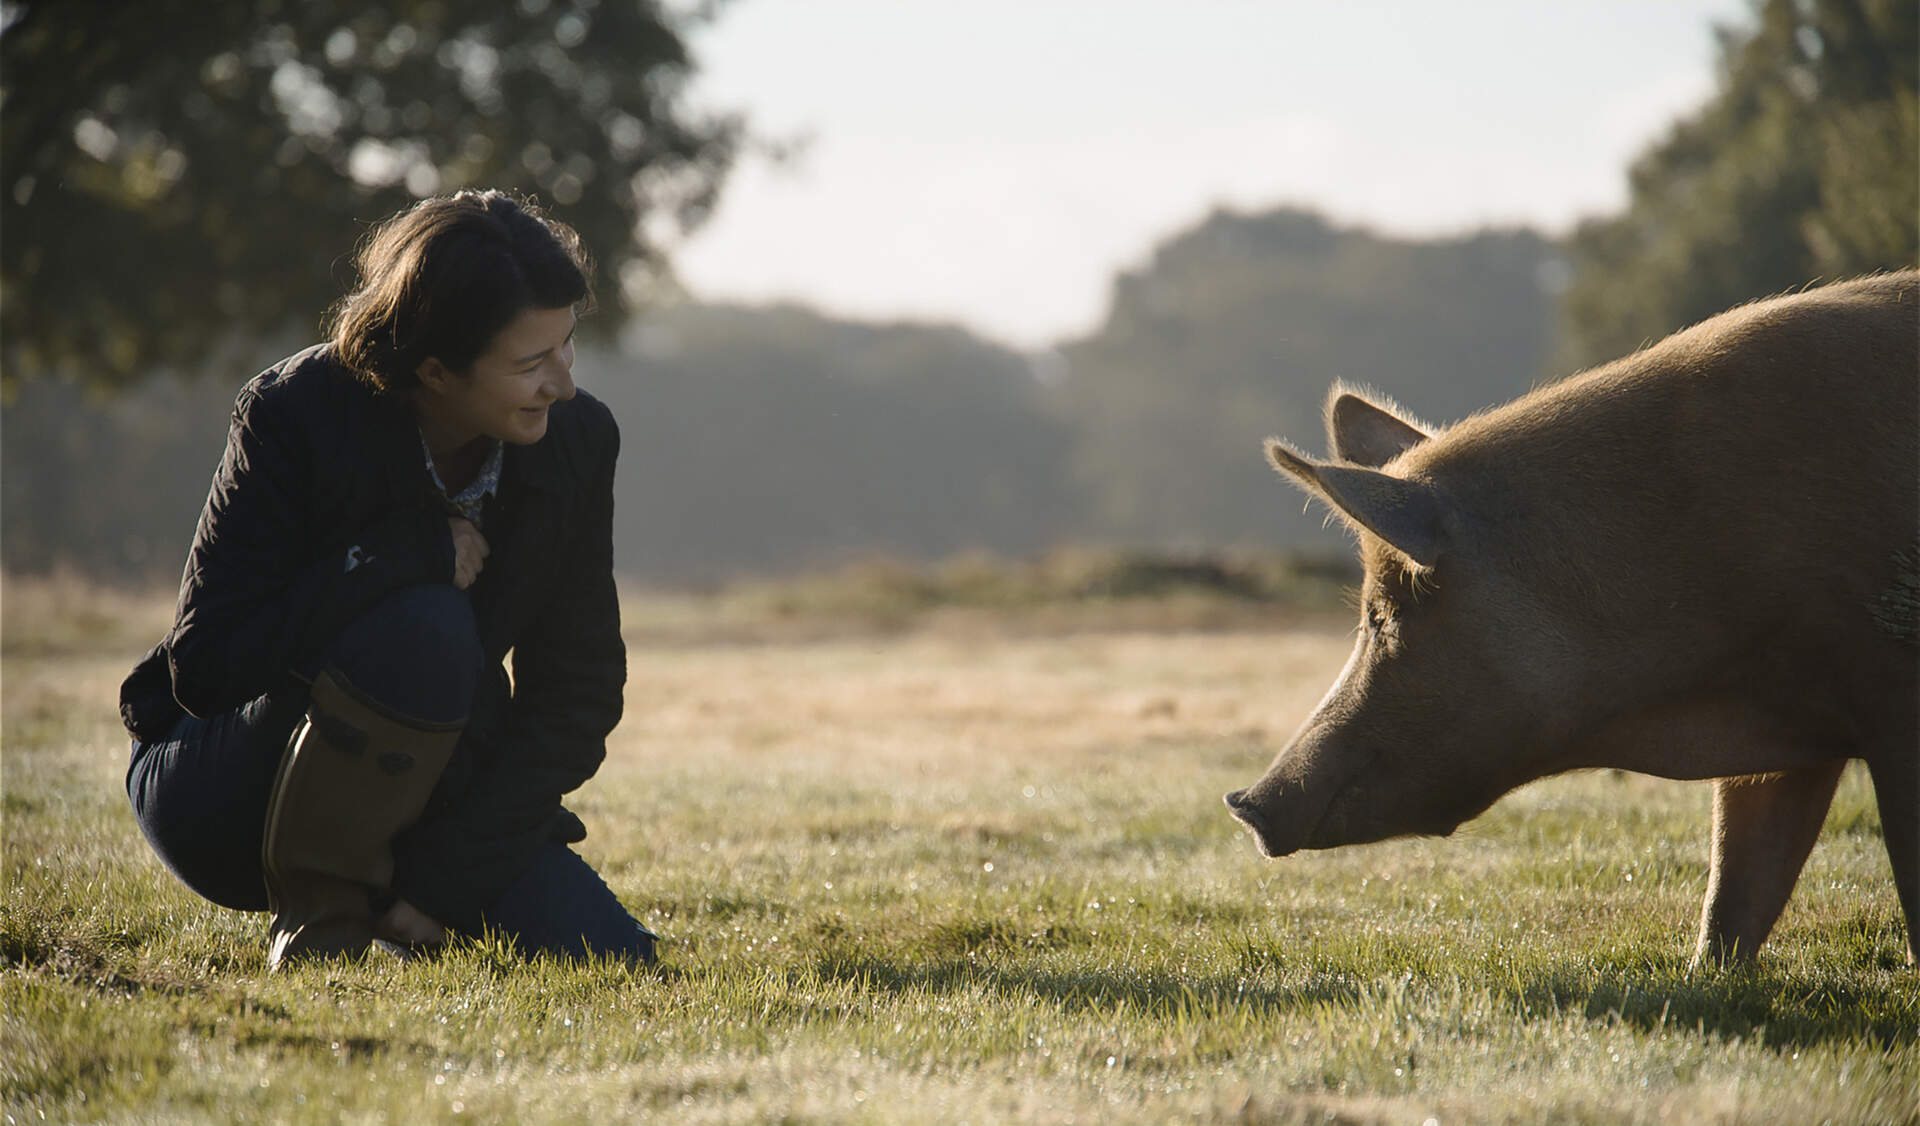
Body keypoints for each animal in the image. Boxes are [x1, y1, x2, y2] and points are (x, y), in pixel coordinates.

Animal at [1221, 267, 1912, 960]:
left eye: (1383, 615)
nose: (1245, 804)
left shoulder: (1888, 703)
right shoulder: (1785, 739)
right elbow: (1736, 891)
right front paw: (1701, 974)